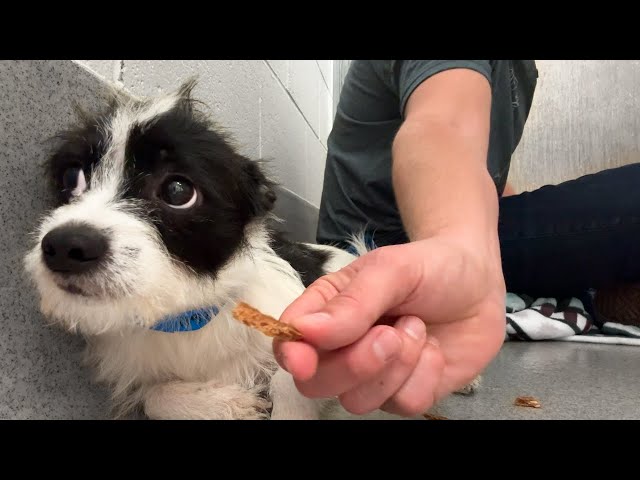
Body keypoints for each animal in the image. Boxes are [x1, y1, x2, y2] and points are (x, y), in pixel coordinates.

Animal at [22, 79, 478, 420]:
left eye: (177, 190)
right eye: (71, 178)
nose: (65, 245)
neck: (187, 315)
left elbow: (289, 382)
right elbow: (156, 396)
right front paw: (223, 404)